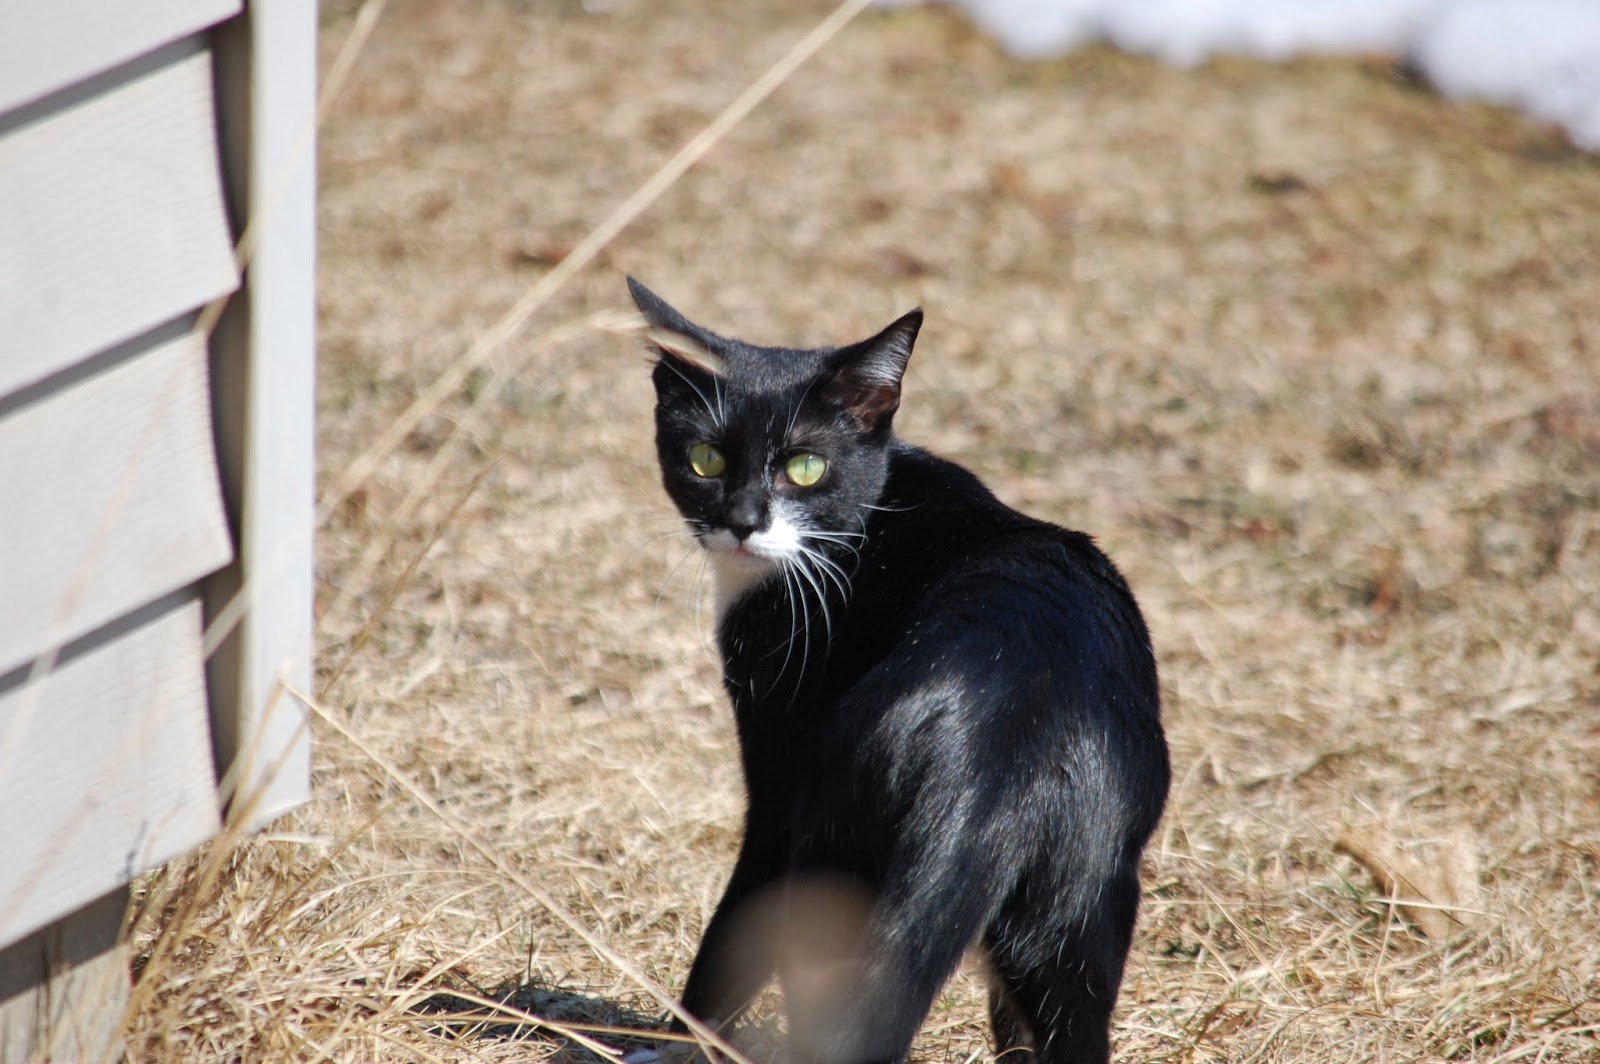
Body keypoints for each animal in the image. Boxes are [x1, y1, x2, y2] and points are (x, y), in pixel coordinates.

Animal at [630, 277, 1169, 1064]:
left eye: (805, 467)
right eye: (705, 459)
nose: (743, 521)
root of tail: (994, 762)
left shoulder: (779, 771)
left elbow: (731, 931)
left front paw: (668, 1039)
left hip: (831, 853)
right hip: (1083, 898)